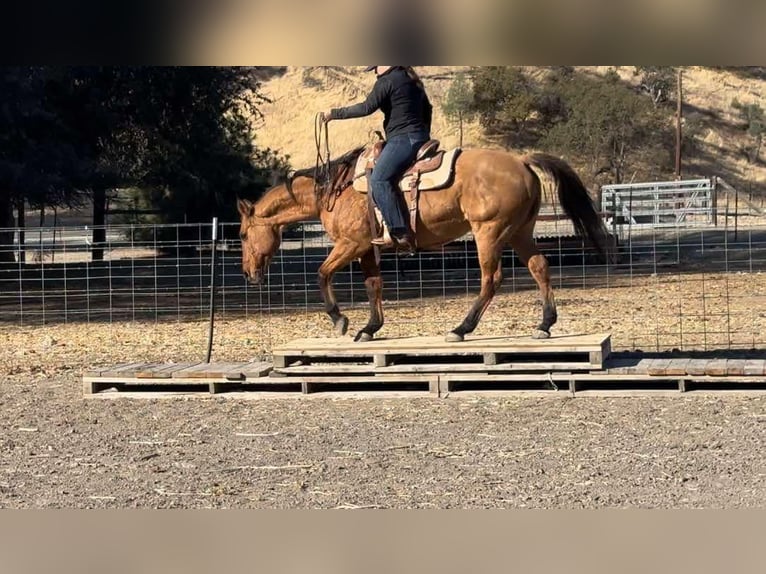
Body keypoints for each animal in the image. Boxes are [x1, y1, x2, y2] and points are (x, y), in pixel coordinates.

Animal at [237, 147, 608, 342]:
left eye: (241, 235)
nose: (248, 273)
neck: (334, 191)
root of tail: (520, 160)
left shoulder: (350, 244)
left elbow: (322, 273)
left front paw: (339, 319)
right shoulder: (367, 248)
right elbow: (373, 285)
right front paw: (370, 328)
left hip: (488, 233)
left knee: (492, 279)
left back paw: (461, 328)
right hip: (520, 232)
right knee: (539, 267)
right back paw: (544, 324)